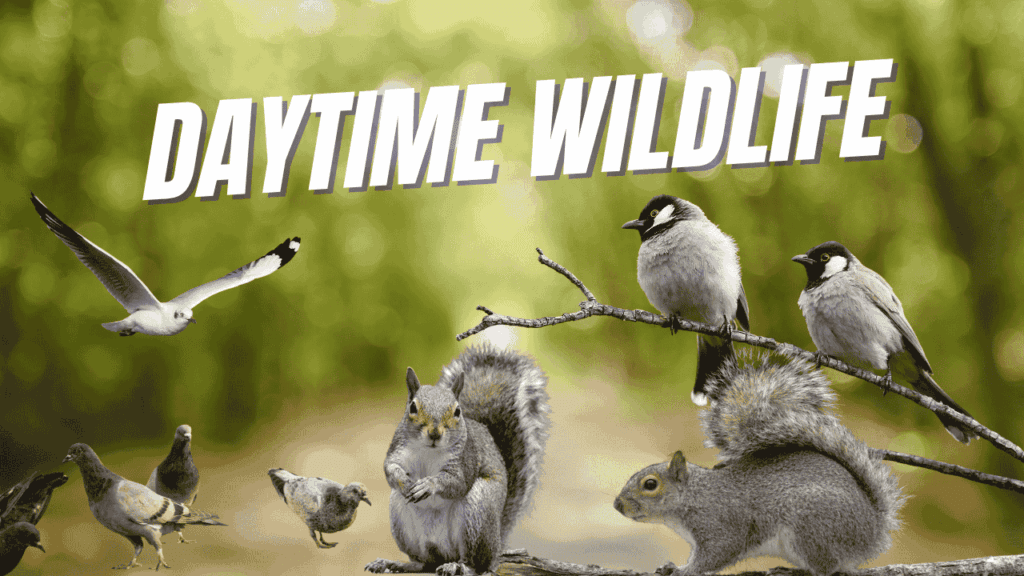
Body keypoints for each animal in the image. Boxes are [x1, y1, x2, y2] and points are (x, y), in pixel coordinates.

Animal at [364, 343, 550, 576]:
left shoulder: (465, 460)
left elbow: (457, 482)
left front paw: (429, 484)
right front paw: (404, 481)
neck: (429, 450)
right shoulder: (398, 449)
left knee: (477, 564)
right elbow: (390, 468)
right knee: (423, 562)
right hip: (401, 518)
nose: (434, 433)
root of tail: (498, 542)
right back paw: (395, 564)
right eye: (413, 407)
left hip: (477, 513)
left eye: (457, 411)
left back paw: (459, 566)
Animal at [614, 352, 905, 576]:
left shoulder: (721, 525)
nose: (617, 505)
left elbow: (715, 555)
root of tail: (872, 532)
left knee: (827, 568)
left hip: (812, 527)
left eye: (650, 484)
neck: (694, 497)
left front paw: (683, 570)